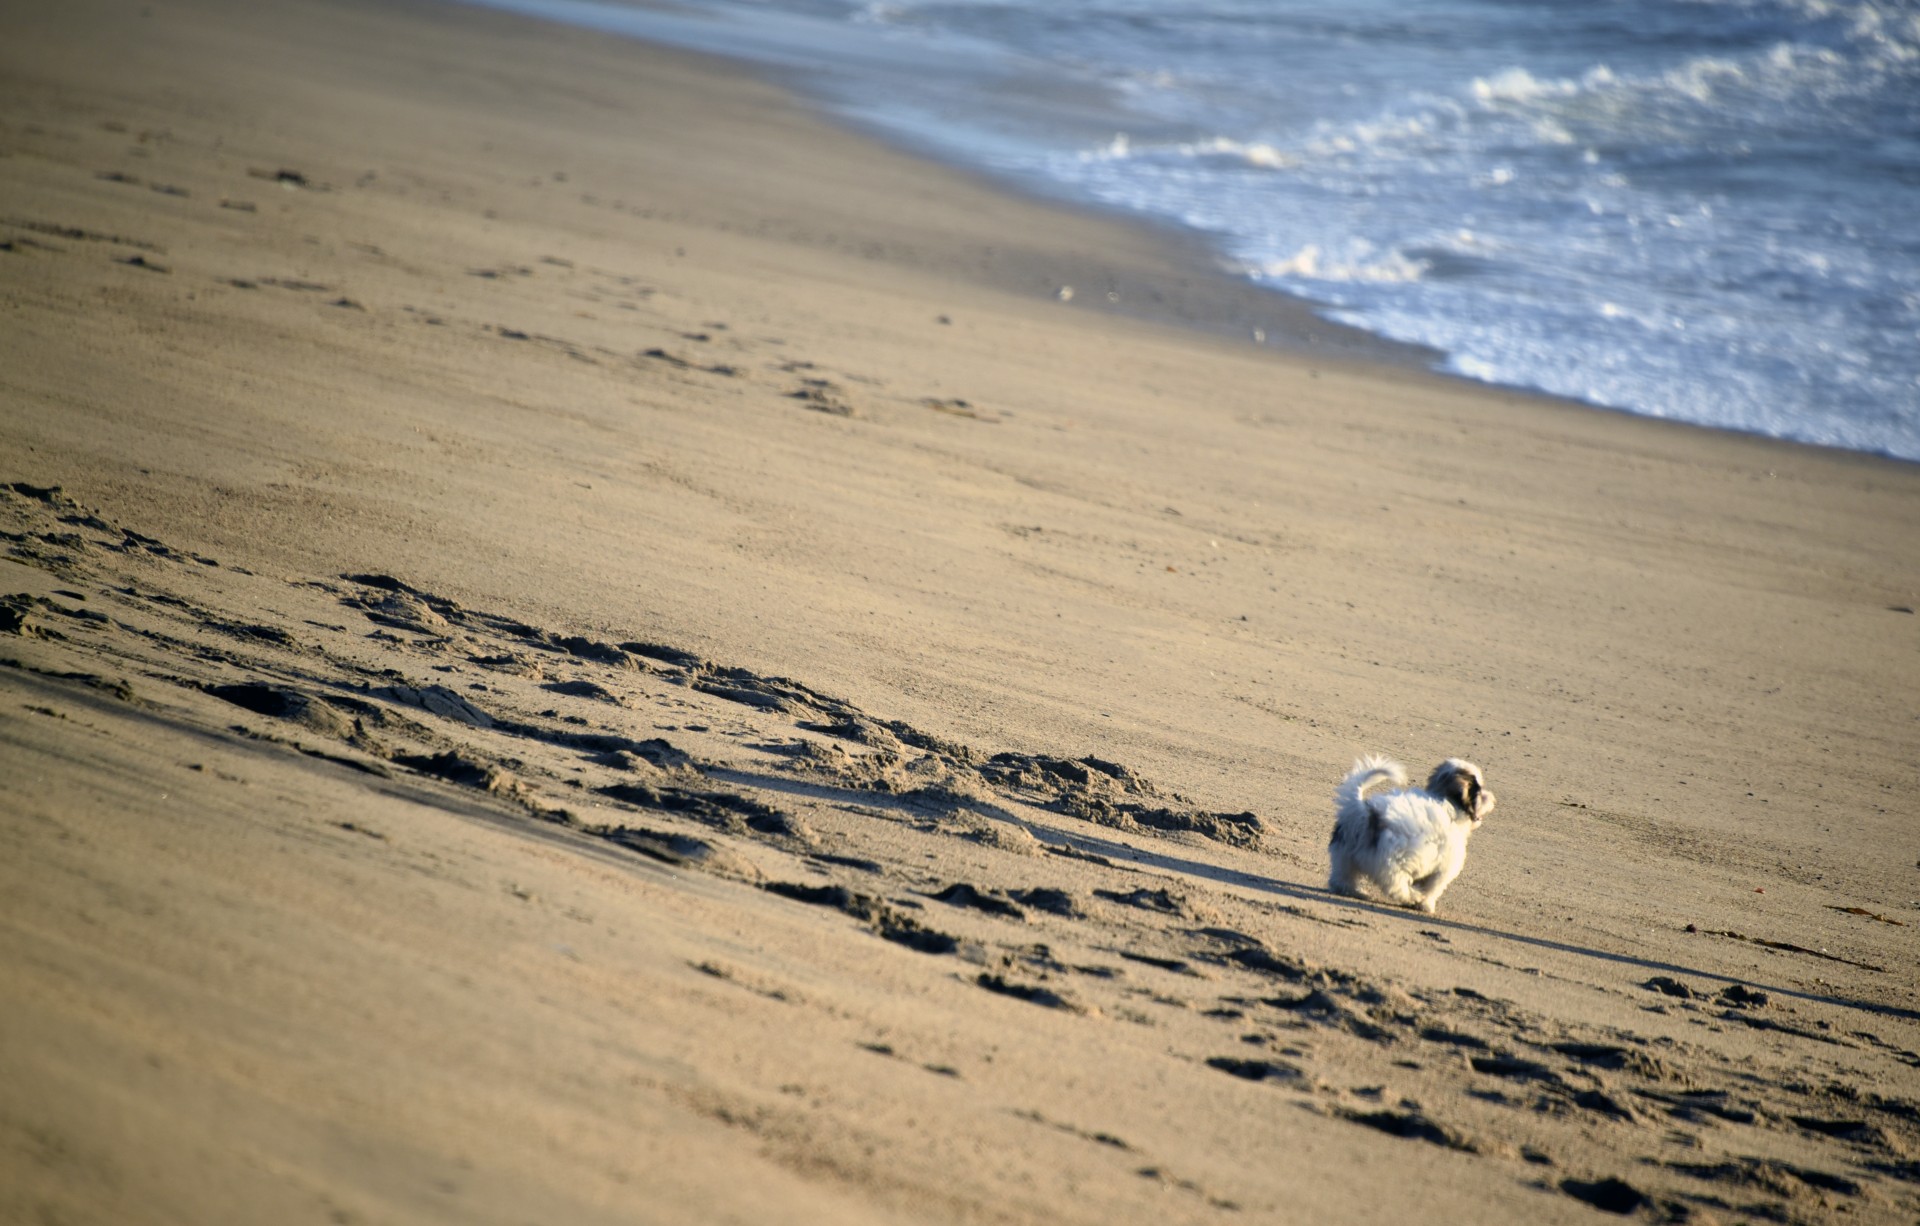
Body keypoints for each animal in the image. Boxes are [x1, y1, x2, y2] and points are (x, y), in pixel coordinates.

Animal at [1328, 752, 1489, 917]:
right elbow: (1432, 888)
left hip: (1344, 854)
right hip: (1390, 863)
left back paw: (1355, 891)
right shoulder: (1443, 869)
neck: (1447, 801)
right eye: (1479, 790)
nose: (1490, 796)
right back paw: (1413, 896)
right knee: (1395, 885)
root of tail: (1365, 812)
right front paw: (1426, 905)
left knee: (1342, 879)